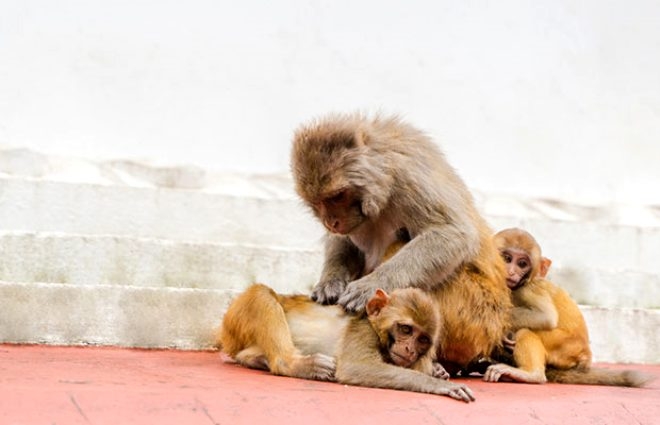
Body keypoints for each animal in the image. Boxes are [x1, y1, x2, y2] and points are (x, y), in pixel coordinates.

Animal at [218, 284, 474, 402]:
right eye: (406, 329)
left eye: (422, 339)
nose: (409, 349)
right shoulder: (362, 331)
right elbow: (355, 367)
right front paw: (438, 383)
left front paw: (438, 371)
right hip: (235, 319)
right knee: (261, 293)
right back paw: (295, 364)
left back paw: (256, 358)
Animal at [288, 112, 510, 372]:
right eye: (318, 201)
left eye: (337, 196)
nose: (330, 221)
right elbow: (343, 240)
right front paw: (330, 282)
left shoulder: (408, 177)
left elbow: (452, 233)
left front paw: (370, 286)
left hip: (474, 318)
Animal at [484, 227, 656, 386]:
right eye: (507, 258)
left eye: (522, 264)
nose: (511, 272)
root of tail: (585, 356)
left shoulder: (529, 288)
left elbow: (545, 317)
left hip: (565, 347)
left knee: (525, 330)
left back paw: (531, 374)